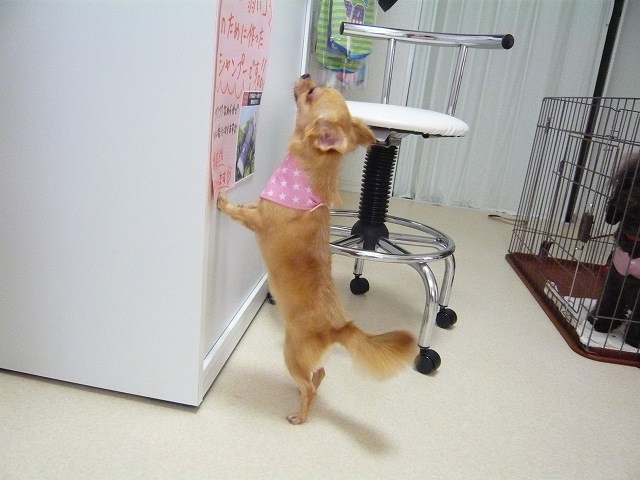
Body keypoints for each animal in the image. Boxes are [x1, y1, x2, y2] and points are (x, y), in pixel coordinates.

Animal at [217, 75, 417, 424]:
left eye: (310, 94)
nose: (307, 75)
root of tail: (339, 327)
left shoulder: (260, 221)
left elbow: (240, 214)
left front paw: (224, 201)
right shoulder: (261, 206)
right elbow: (250, 203)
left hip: (291, 353)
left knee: (309, 383)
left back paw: (300, 415)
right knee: (319, 375)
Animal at [589, 152, 640, 348]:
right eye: (630, 182)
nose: (629, 200)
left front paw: (633, 341)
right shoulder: (616, 274)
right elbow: (609, 299)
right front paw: (599, 323)